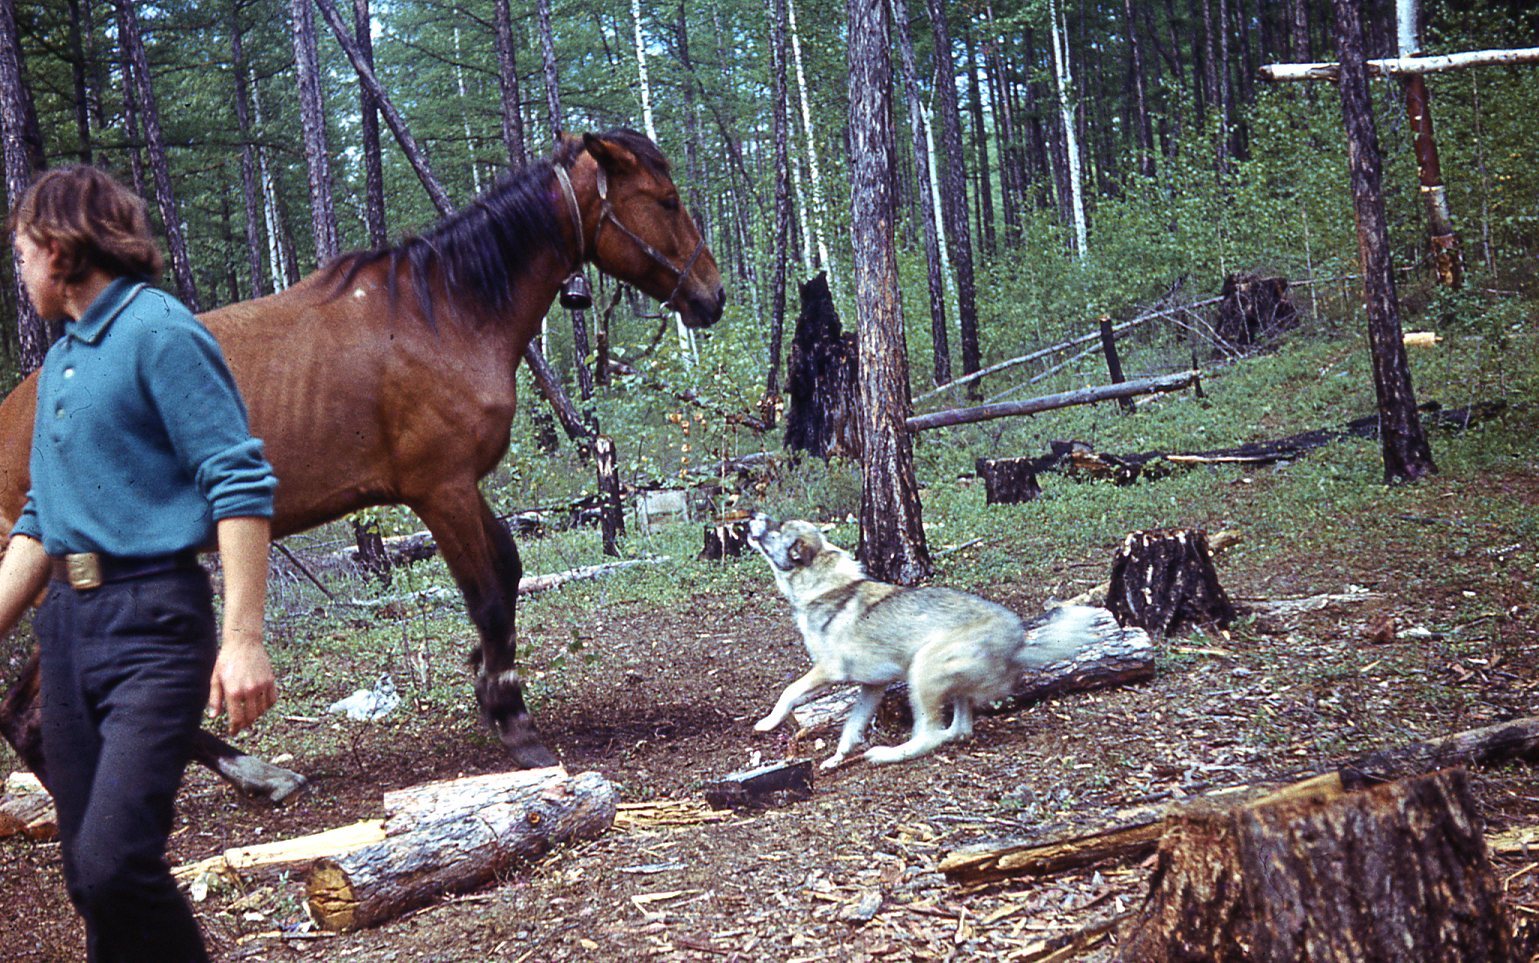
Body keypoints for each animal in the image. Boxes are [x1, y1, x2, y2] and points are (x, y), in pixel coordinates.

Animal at [0, 129, 724, 796]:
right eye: (666, 200)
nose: (711, 295)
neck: (446, 313)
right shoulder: (440, 489)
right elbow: (488, 593)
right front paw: (512, 718)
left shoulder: (460, 485)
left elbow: (509, 571)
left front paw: (487, 678)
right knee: (28, 713)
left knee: (26, 713)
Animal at [746, 513, 1101, 768]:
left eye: (777, 527)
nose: (752, 514)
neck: (825, 586)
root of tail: (1018, 640)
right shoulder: (872, 687)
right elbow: (851, 727)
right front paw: (837, 758)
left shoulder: (828, 671)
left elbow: (789, 692)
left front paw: (767, 723)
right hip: (947, 681)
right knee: (958, 729)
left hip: (922, 669)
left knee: (930, 734)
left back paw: (887, 754)